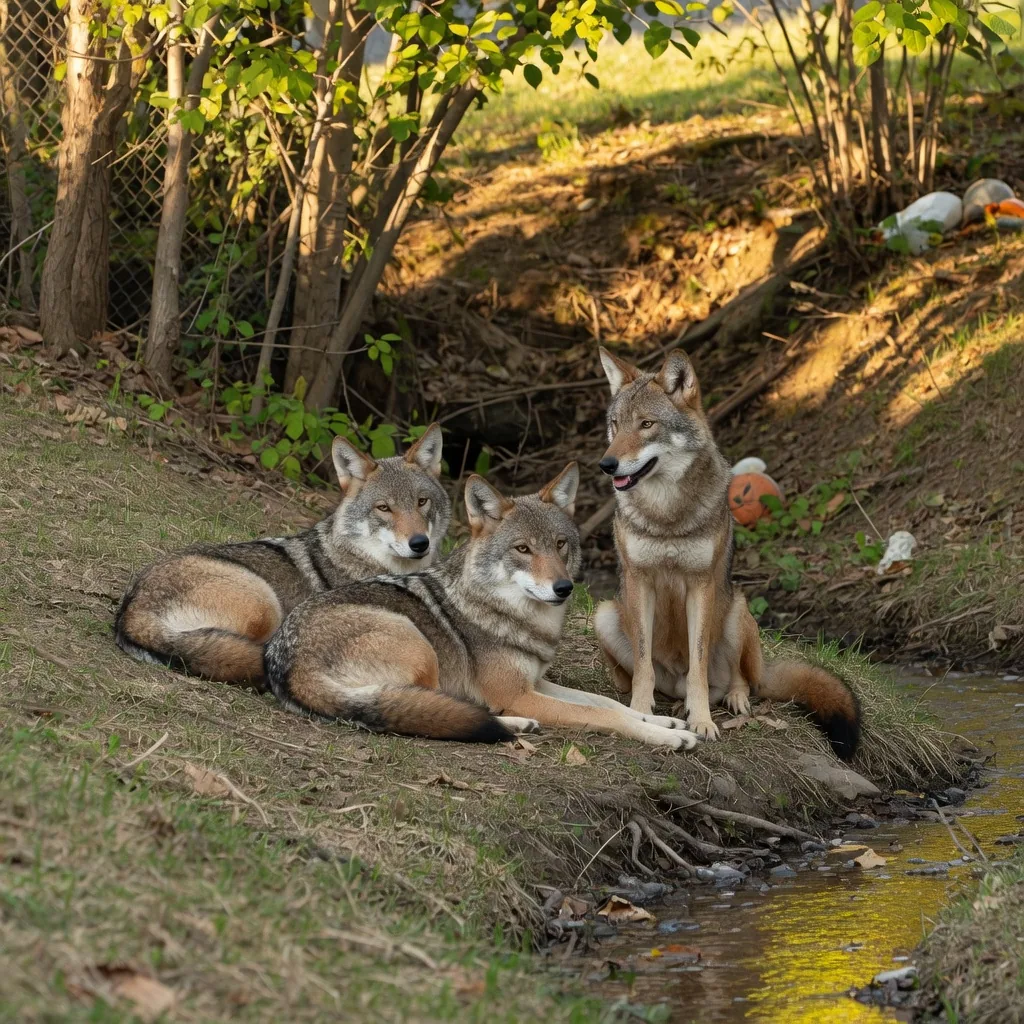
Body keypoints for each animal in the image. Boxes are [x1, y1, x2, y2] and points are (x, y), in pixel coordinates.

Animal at [264, 464, 700, 748]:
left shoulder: (535, 681)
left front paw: (662, 719)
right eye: (523, 549)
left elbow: (609, 701)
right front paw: (664, 737)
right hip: (421, 650)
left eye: (560, 545)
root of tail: (284, 663)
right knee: (427, 707)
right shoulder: (518, 693)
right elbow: (604, 714)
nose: (563, 588)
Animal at [592, 348, 861, 761]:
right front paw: (641, 712)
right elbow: (642, 665)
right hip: (605, 613)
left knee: (743, 680)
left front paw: (702, 721)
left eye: (646, 424)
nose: (607, 465)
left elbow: (699, 666)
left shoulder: (700, 585)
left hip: (736, 610)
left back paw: (734, 700)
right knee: (634, 676)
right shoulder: (640, 580)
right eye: (616, 425)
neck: (667, 515)